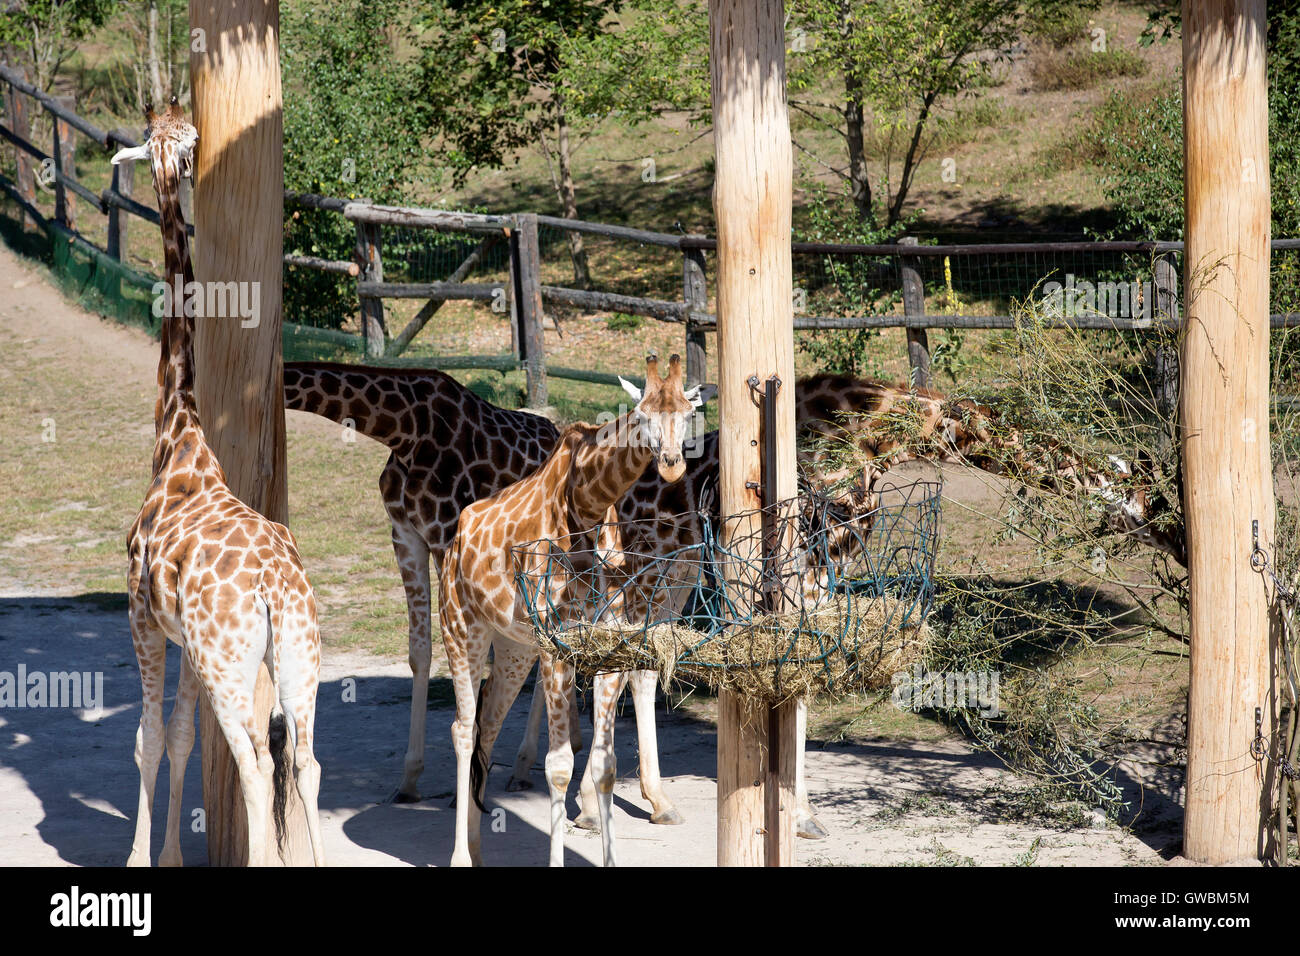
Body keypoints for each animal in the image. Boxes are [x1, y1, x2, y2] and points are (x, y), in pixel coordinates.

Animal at [113, 100, 325, 867]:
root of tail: (273, 587)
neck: (177, 434)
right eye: (177, 141)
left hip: (230, 662)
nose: (178, 157)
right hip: (294, 654)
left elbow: (148, 738)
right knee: (303, 760)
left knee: (255, 764)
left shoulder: (141, 616)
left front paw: (144, 858)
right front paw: (172, 855)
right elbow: (177, 737)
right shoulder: (180, 636)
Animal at [438, 353, 702, 866]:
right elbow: (559, 766)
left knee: (486, 725)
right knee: (461, 729)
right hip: (461, 630)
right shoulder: (558, 648)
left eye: (686, 413)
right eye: (642, 415)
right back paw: (460, 856)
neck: (586, 505)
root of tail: (455, 541)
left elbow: (604, 764)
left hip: (514, 648)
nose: (671, 465)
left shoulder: (609, 644)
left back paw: (477, 847)